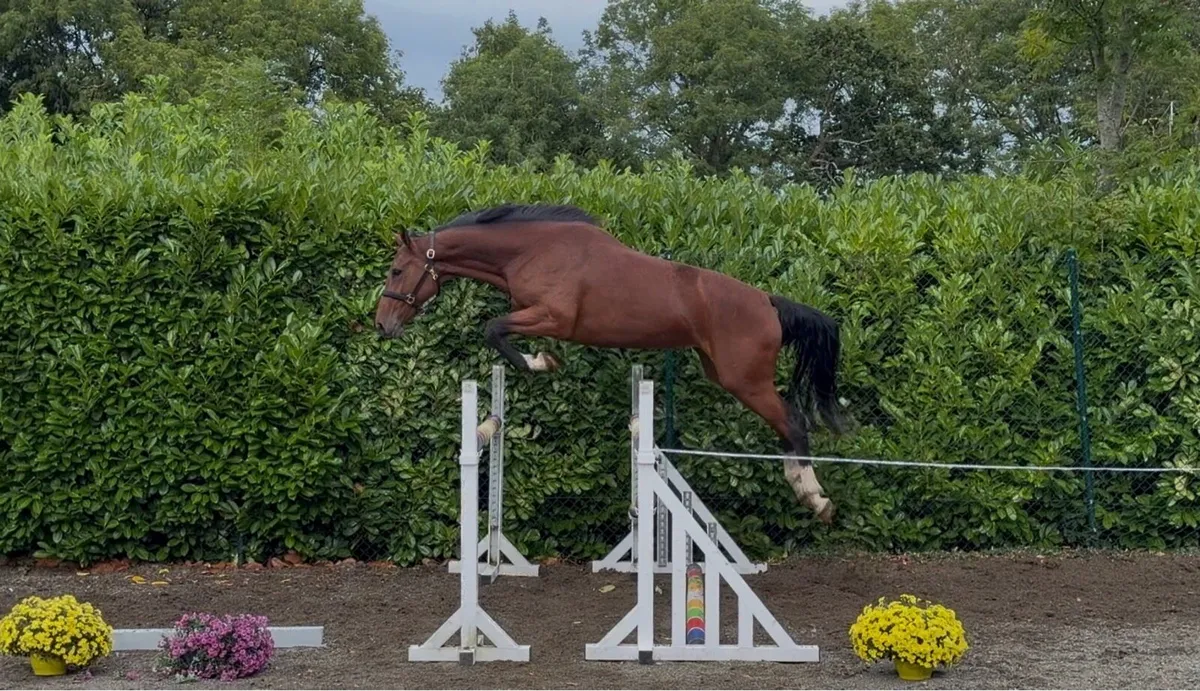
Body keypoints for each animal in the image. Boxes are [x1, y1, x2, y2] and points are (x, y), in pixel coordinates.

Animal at [373, 203, 849, 523]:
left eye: (396, 271)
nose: (382, 324)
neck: (531, 250)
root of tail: (768, 302)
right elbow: (497, 331)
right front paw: (543, 360)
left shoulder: (551, 317)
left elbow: (494, 330)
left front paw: (542, 361)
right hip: (724, 374)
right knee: (787, 426)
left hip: (744, 380)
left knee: (793, 423)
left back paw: (814, 497)